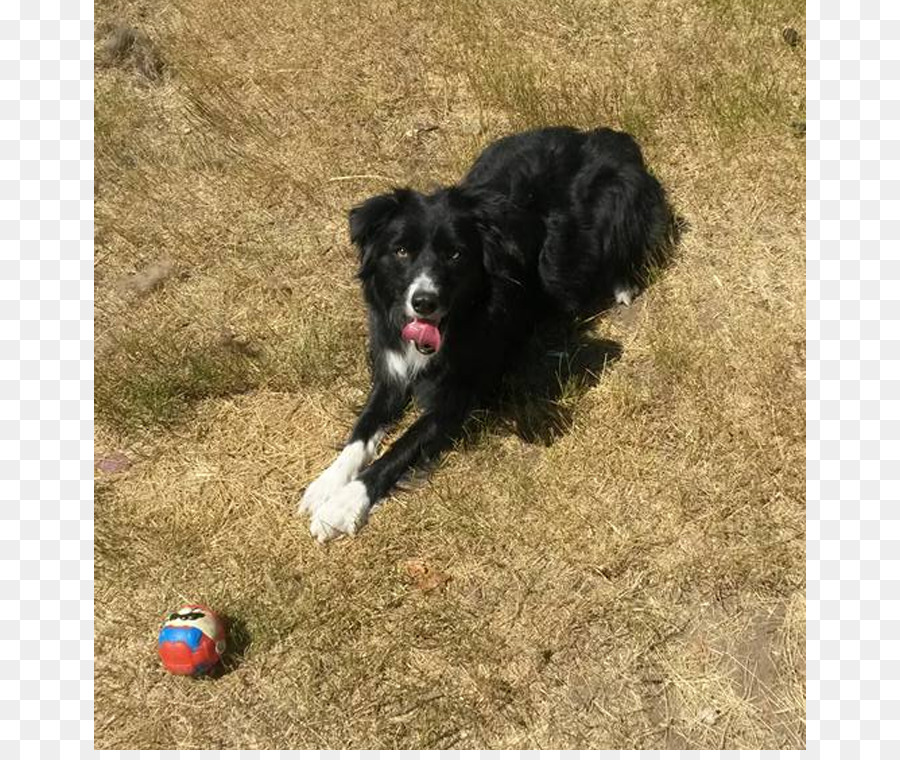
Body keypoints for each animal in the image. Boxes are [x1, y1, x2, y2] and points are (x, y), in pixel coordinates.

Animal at [298, 126, 664, 540]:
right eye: (402, 251)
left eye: (455, 254)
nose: (423, 302)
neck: (459, 319)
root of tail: (605, 135)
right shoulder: (390, 369)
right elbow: (362, 431)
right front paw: (328, 483)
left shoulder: (458, 396)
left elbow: (401, 448)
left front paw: (344, 505)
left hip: (621, 199)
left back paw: (623, 286)